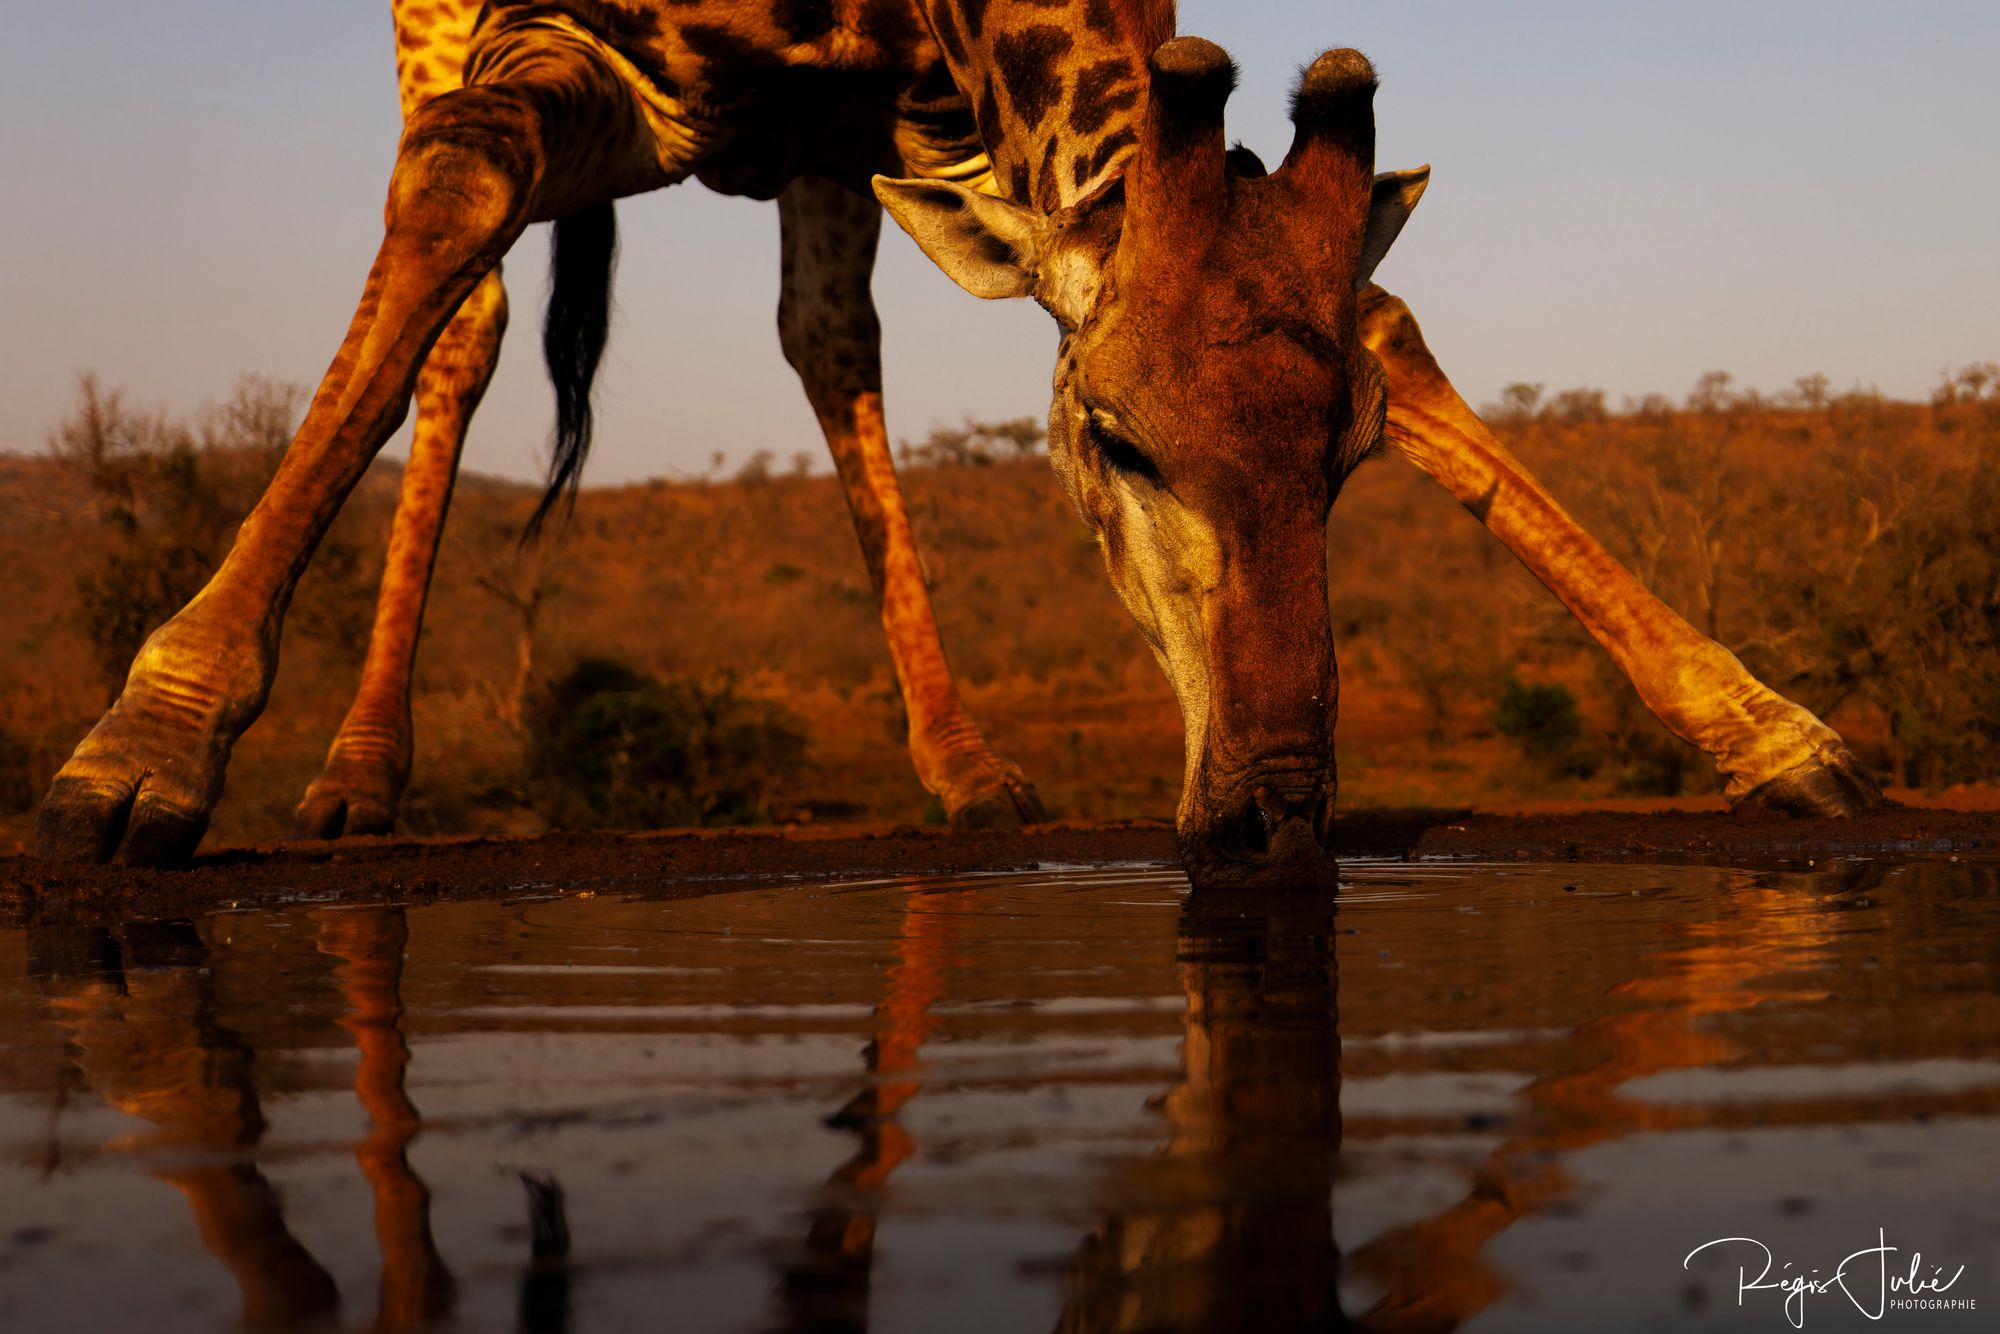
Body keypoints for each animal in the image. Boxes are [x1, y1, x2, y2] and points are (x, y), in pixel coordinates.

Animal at [31, 5, 1872, 892]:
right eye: (1116, 443)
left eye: (1346, 459)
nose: (1280, 815)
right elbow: (456, 201)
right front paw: (135, 760)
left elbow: (1392, 317)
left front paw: (1778, 739)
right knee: (471, 308)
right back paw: (356, 775)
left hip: (833, 141)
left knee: (825, 330)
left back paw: (965, 766)